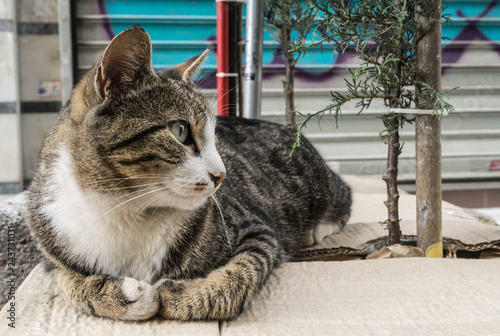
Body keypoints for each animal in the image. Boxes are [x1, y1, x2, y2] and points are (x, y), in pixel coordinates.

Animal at [27, 26, 352, 320]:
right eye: (180, 131)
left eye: (215, 138)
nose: (222, 175)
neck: (122, 209)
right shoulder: (51, 256)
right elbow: (69, 281)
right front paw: (121, 295)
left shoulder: (258, 230)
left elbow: (244, 270)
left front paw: (185, 295)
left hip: (321, 187)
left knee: (344, 194)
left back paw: (318, 229)